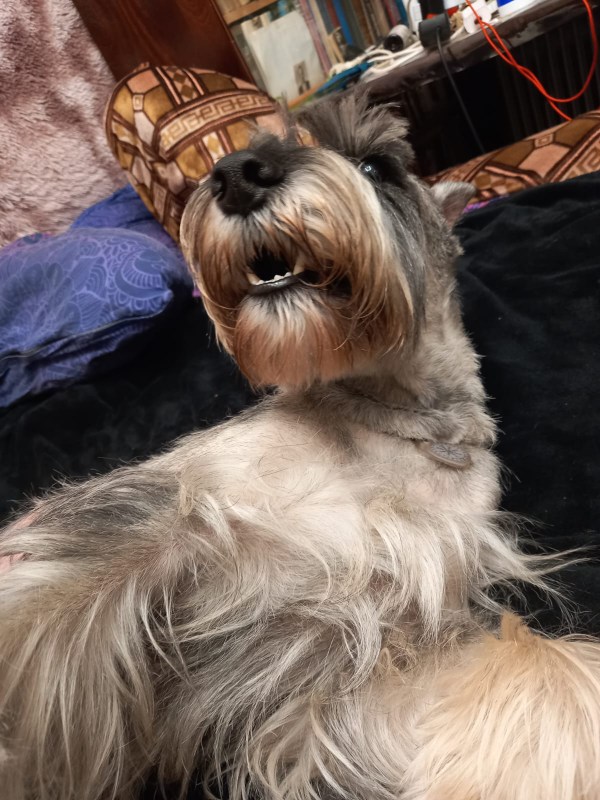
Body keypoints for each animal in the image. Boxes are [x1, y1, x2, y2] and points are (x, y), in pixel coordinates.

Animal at [1, 92, 600, 800]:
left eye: (375, 166)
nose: (235, 173)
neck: (400, 422)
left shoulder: (352, 663)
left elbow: (542, 666)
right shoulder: (159, 524)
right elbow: (35, 610)